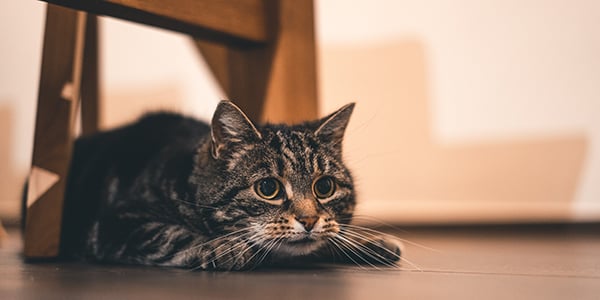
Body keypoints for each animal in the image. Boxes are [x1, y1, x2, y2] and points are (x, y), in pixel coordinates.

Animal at [58, 100, 400, 270]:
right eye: (268, 189)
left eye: (325, 187)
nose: (309, 220)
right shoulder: (118, 221)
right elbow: (175, 235)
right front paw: (234, 248)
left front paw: (371, 244)